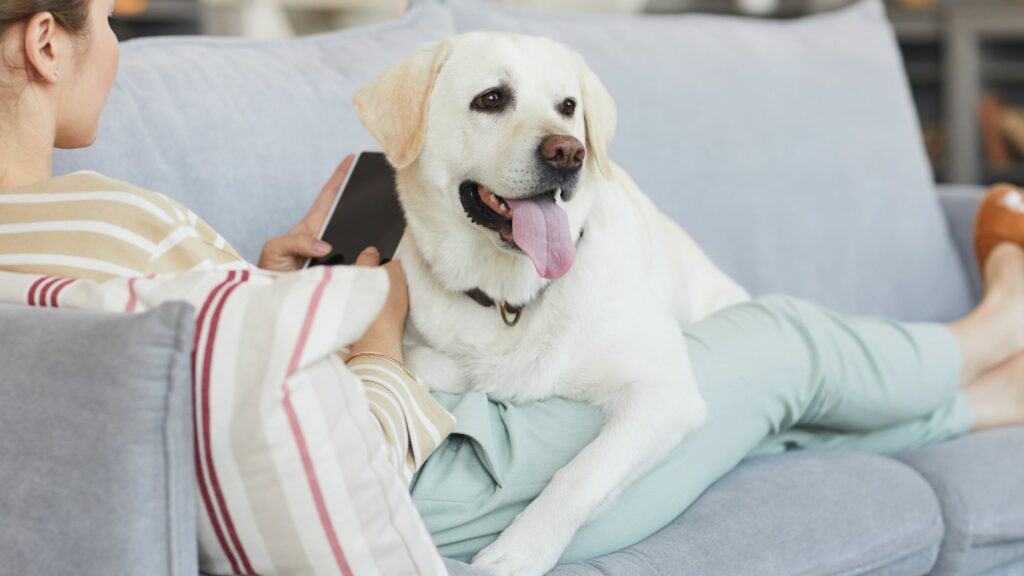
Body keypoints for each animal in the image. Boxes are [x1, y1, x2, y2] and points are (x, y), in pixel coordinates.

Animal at [356, 33, 749, 569]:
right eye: (491, 99)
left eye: (568, 107)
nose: (569, 152)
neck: (510, 298)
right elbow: (425, 363)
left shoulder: (664, 393)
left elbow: (582, 472)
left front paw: (517, 552)